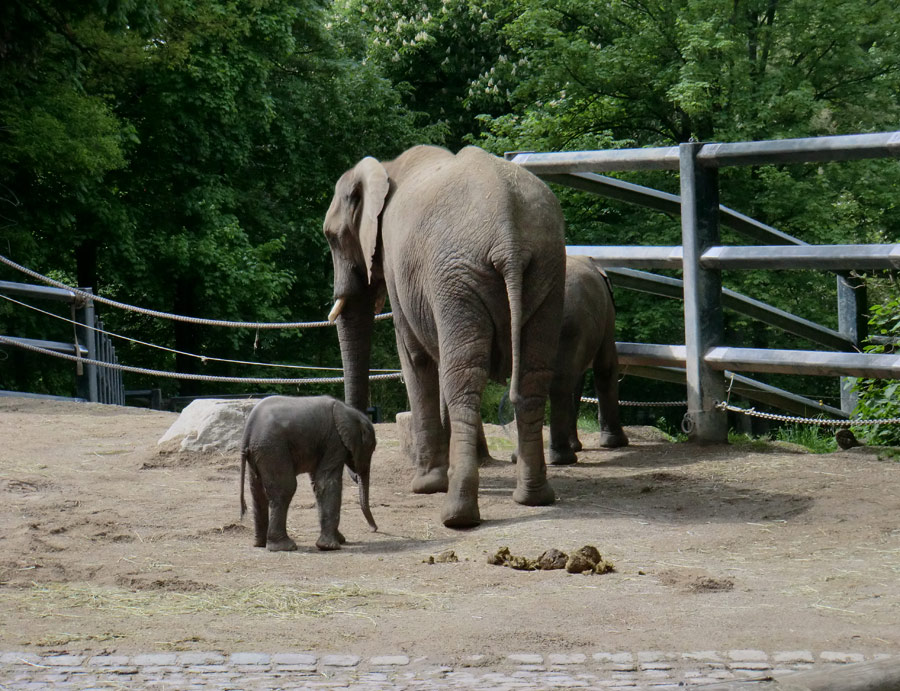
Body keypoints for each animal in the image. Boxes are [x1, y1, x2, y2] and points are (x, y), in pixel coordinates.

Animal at [239, 394, 376, 552]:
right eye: (372, 449)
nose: (374, 529)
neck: (350, 412)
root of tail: (248, 431)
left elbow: (317, 485)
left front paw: (340, 540)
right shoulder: (334, 441)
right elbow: (326, 483)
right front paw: (330, 547)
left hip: (260, 451)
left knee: (257, 491)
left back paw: (260, 544)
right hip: (272, 448)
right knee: (285, 489)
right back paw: (285, 546)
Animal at [324, 143, 564, 528]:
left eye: (331, 237)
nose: (354, 474)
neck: (386, 167)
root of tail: (509, 230)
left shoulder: (398, 266)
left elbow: (414, 357)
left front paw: (425, 485)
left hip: (458, 276)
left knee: (463, 375)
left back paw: (457, 514)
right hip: (547, 269)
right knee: (531, 376)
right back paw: (533, 498)